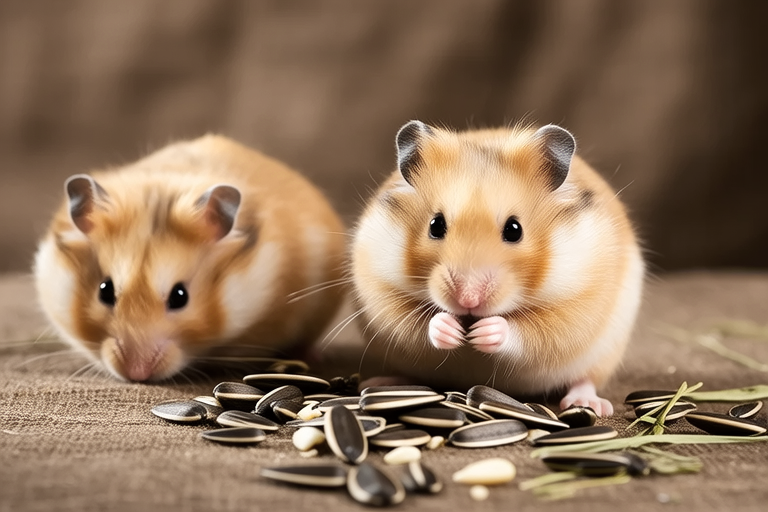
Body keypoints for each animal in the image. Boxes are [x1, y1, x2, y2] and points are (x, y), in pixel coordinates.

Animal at [350, 121, 644, 416]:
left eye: (514, 230)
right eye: (435, 225)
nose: (468, 300)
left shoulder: (577, 305)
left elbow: (530, 334)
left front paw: (484, 332)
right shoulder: (379, 291)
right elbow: (415, 324)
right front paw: (450, 329)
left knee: (586, 380)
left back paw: (590, 404)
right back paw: (378, 383)